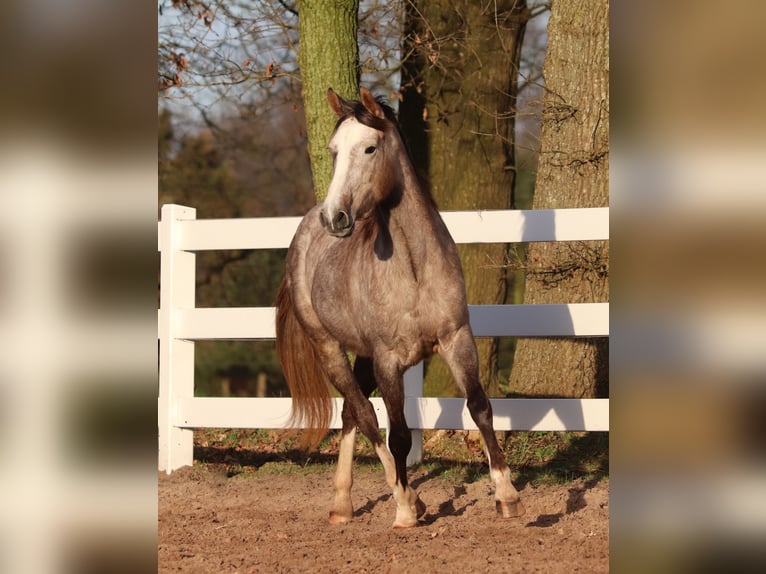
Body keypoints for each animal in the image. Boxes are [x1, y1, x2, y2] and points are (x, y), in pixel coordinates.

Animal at [272, 86, 524, 532]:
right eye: (334, 150)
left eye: (370, 148)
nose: (335, 218)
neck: (415, 268)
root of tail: (304, 230)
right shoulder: (390, 361)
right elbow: (400, 434)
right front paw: (405, 510)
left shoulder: (457, 339)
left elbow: (480, 408)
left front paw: (507, 496)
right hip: (329, 348)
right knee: (364, 415)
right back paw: (404, 498)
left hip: (362, 355)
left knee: (351, 414)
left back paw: (344, 502)